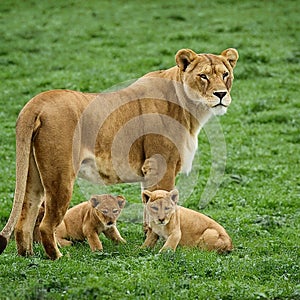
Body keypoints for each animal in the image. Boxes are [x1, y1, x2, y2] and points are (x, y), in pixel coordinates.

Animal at [0, 48, 239, 258]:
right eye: (203, 76)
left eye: (225, 74)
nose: (221, 94)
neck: (191, 109)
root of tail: (35, 103)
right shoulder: (161, 165)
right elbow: (162, 202)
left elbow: (148, 207)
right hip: (61, 176)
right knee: (46, 224)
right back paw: (58, 257)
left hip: (33, 176)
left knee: (25, 218)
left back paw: (28, 256)